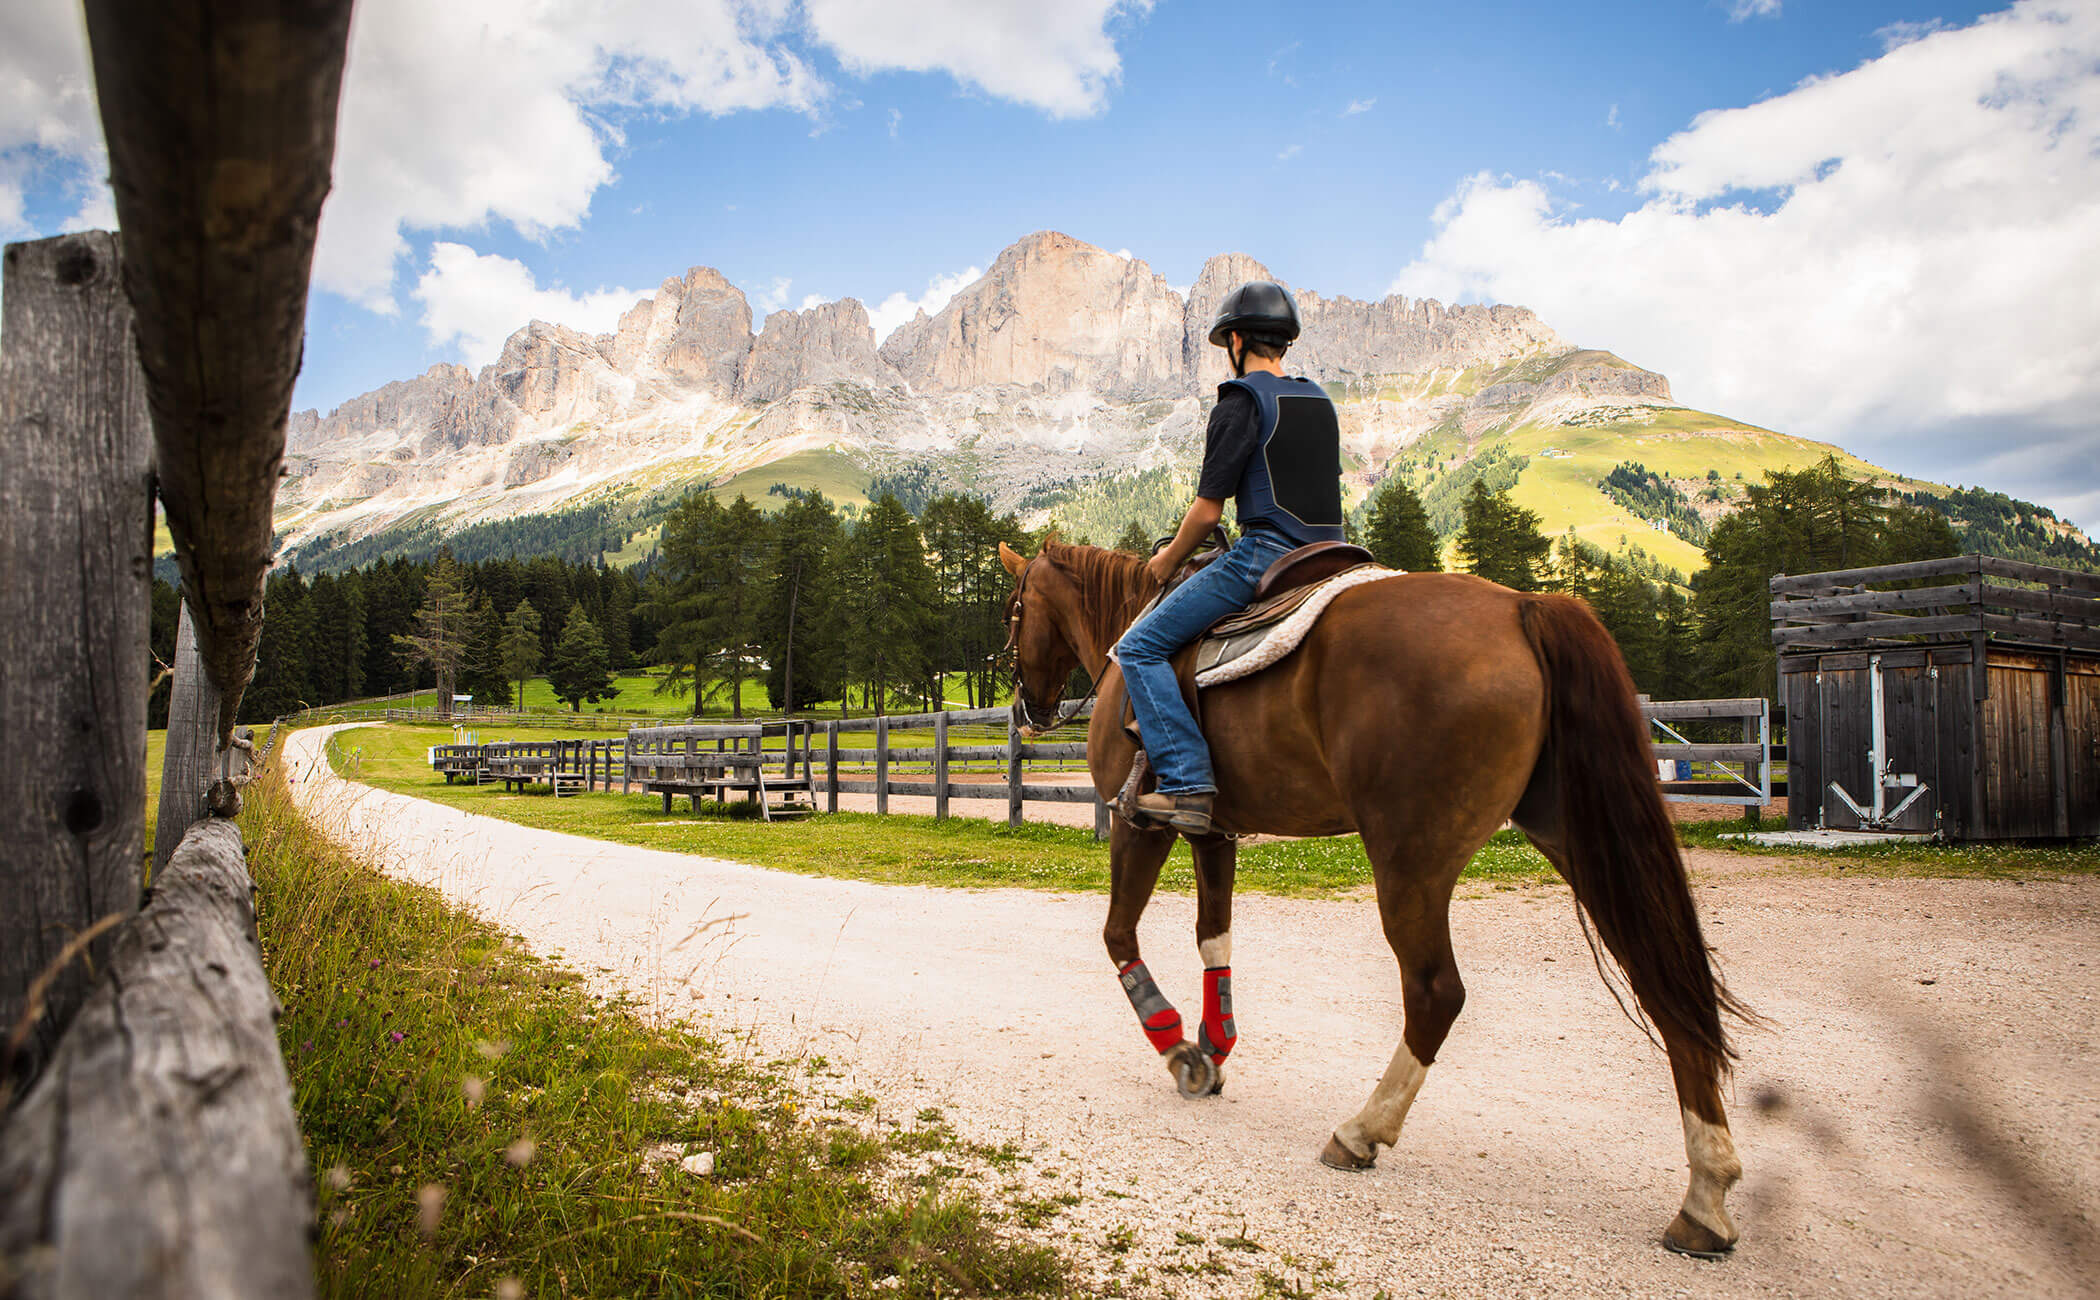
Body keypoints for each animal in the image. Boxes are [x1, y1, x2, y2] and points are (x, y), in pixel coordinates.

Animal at [997, 535, 1756, 1259]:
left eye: (1013, 608)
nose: (1027, 706)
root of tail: (1521, 607)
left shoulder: (1140, 824)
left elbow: (1118, 935)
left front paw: (1177, 1045)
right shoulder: (1213, 832)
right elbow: (1215, 938)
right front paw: (1214, 1046)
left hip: (1410, 856)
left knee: (1436, 992)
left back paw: (1361, 1130)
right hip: (1573, 832)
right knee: (1664, 981)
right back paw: (1706, 1198)